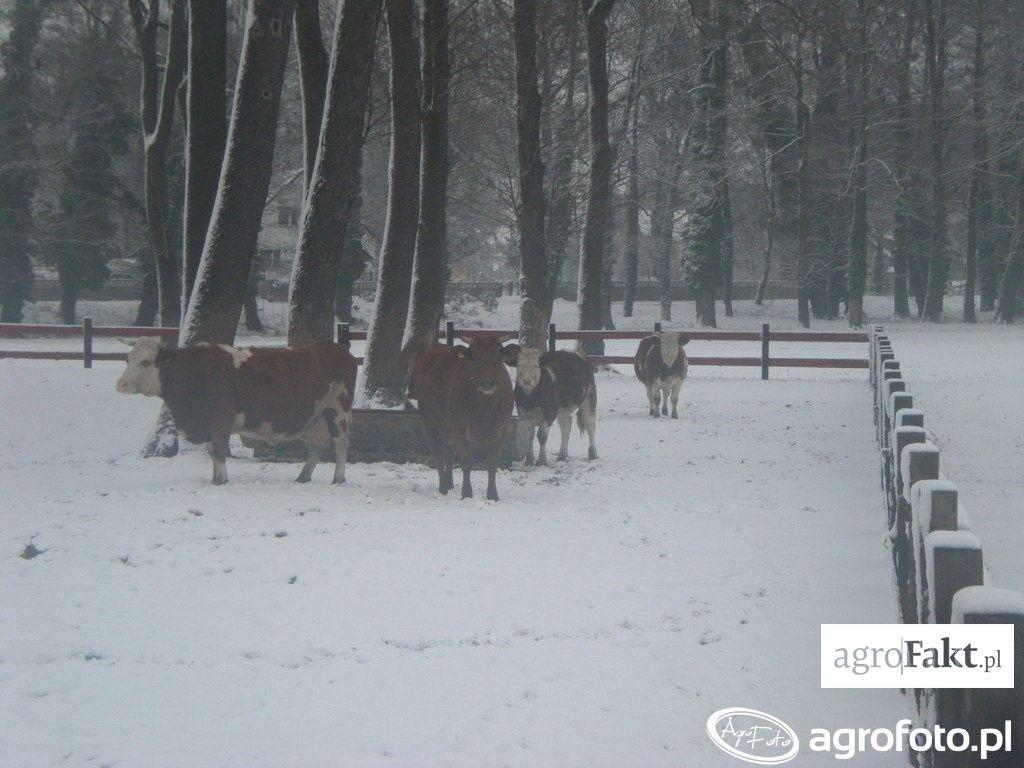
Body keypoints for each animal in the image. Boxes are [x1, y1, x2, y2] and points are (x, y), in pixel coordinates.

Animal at [113, 337, 356, 483]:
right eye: (127, 359)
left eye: (146, 362)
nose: (121, 384)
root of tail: (336, 348)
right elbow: (212, 451)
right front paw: (214, 478)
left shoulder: (221, 420)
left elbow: (219, 450)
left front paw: (220, 480)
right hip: (315, 419)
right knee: (316, 447)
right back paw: (303, 477)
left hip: (338, 412)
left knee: (340, 445)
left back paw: (338, 478)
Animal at [407, 333, 516, 501]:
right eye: (474, 357)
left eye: (499, 356)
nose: (487, 383)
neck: (485, 409)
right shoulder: (459, 428)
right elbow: (466, 462)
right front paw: (467, 494)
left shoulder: (502, 429)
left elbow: (492, 464)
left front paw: (493, 495)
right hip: (429, 422)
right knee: (438, 453)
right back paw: (443, 487)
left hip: (447, 428)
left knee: (449, 451)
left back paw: (449, 483)